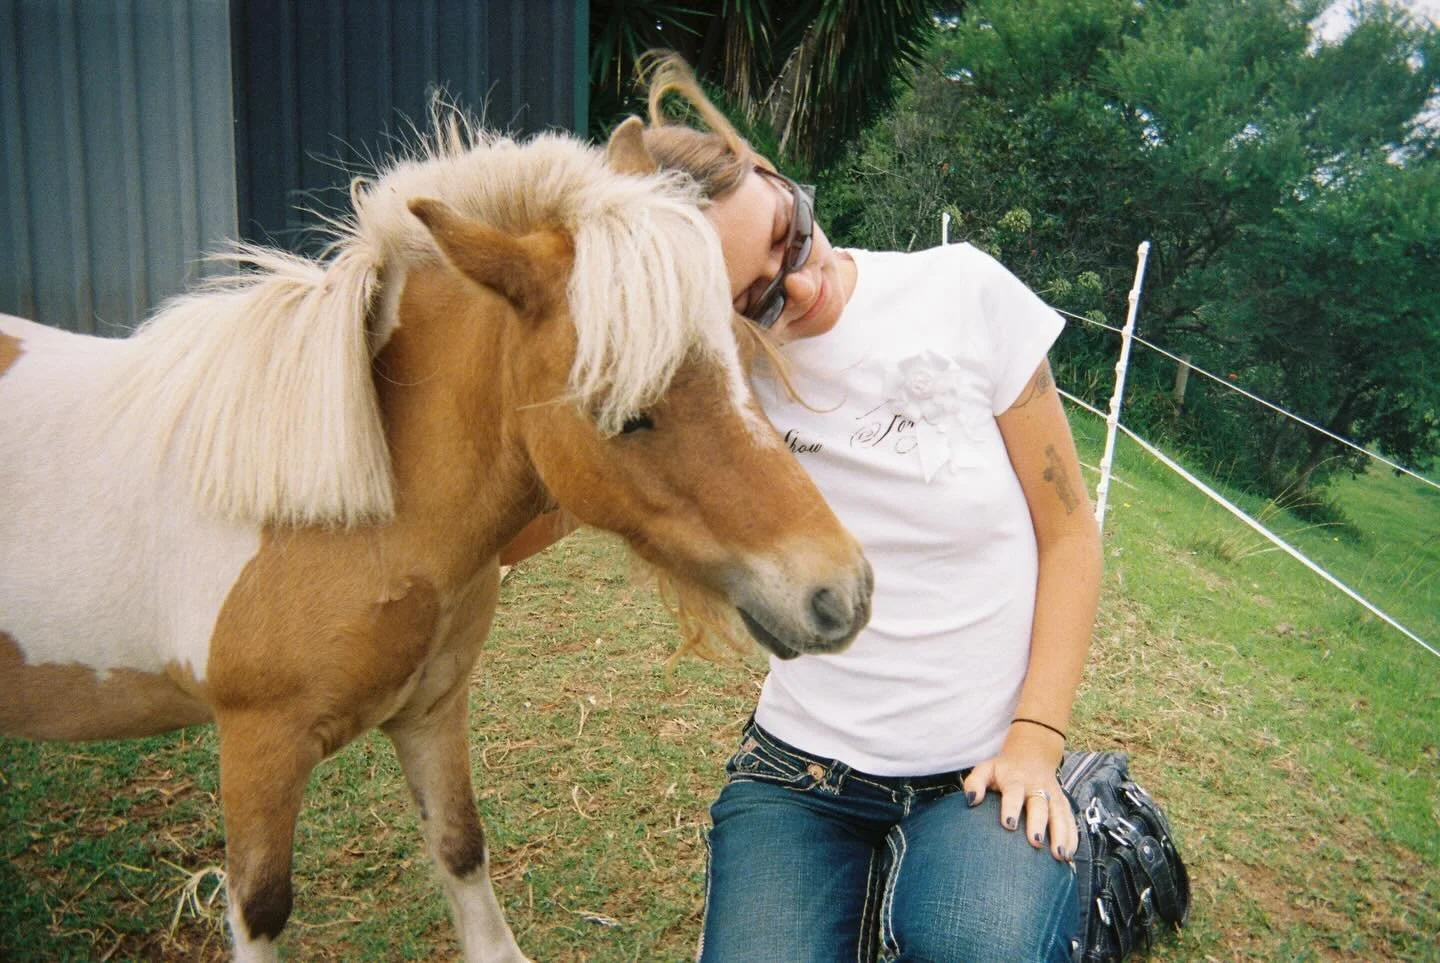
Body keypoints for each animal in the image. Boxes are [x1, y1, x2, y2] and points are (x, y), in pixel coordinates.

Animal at [0, 113, 872, 962]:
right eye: (625, 412)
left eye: (741, 358)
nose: (843, 592)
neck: (345, 502)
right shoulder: (257, 743)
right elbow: (261, 907)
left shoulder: (431, 711)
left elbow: (461, 849)